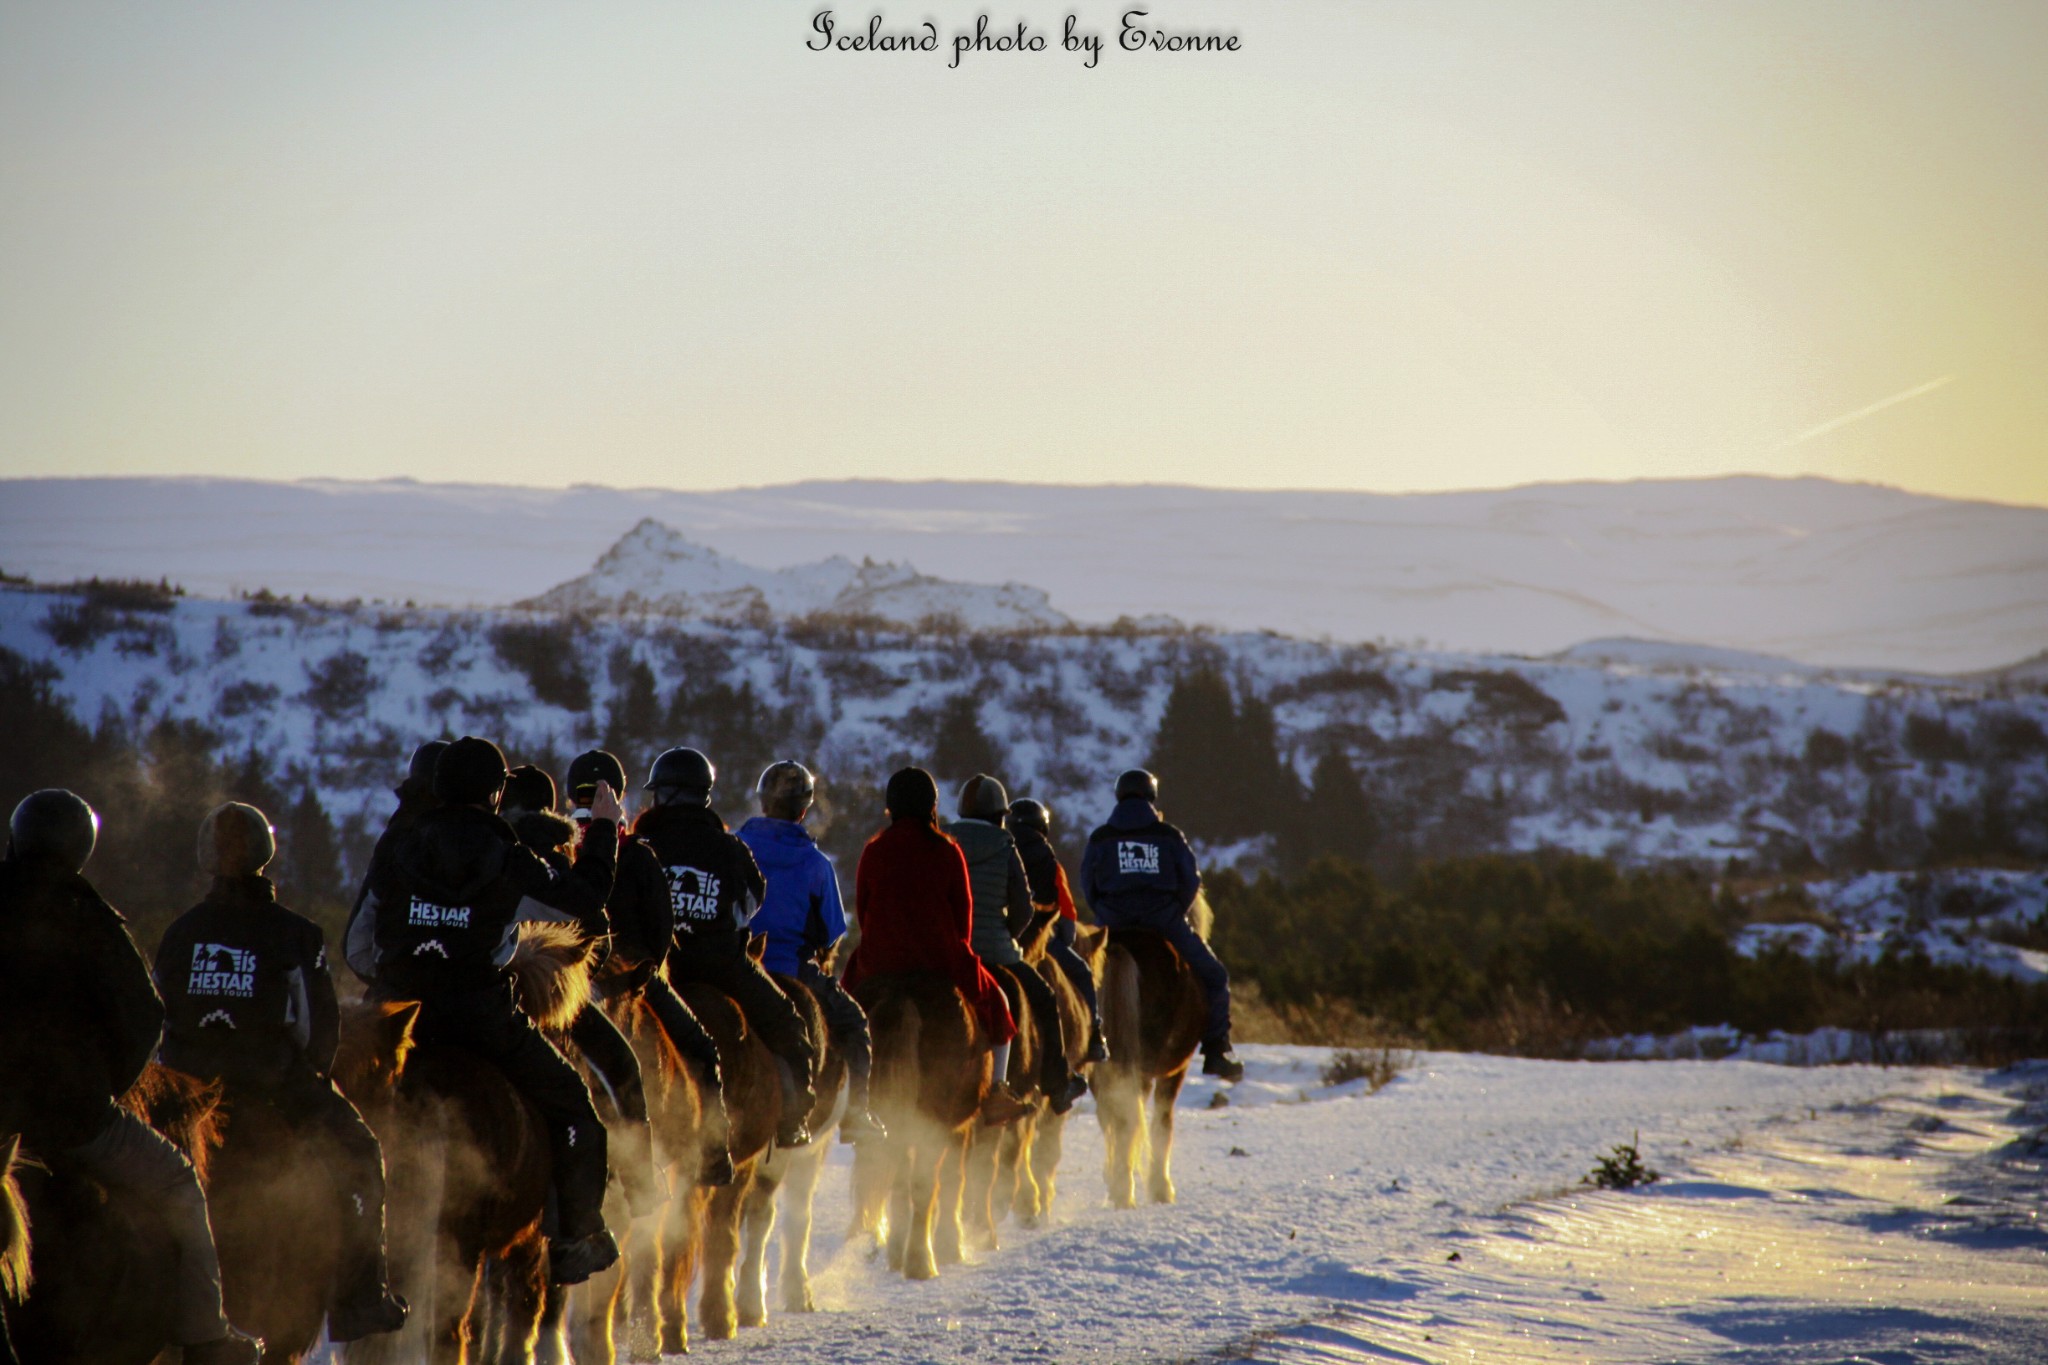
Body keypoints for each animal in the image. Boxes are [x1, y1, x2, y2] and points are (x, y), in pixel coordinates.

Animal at [847, 970, 991, 1285]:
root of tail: (900, 992)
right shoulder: (959, 1128)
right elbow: (953, 1179)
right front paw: (950, 1246)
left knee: (901, 1184)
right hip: (932, 1123)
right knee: (924, 1185)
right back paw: (921, 1262)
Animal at [1097, 896, 1204, 1203]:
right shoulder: (1176, 1071)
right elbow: (1162, 1123)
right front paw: (1161, 1187)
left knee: (1111, 1115)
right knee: (1129, 1119)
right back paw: (1125, 1189)